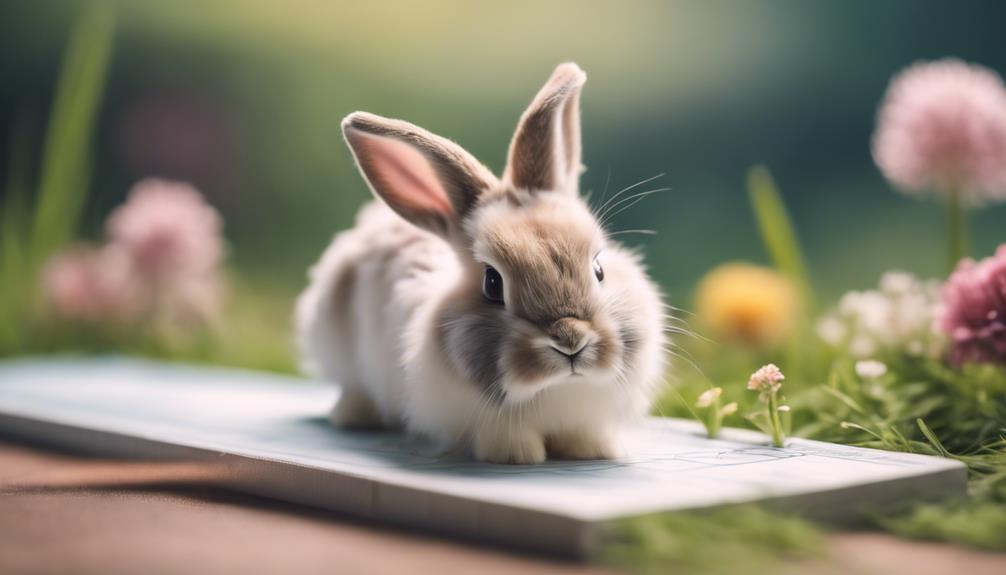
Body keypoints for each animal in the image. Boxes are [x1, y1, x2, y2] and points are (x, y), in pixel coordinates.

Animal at [296, 62, 667, 464]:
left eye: (599, 270)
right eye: (492, 283)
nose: (570, 340)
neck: (555, 391)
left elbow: (582, 435)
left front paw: (592, 452)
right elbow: (505, 439)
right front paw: (516, 456)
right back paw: (356, 415)